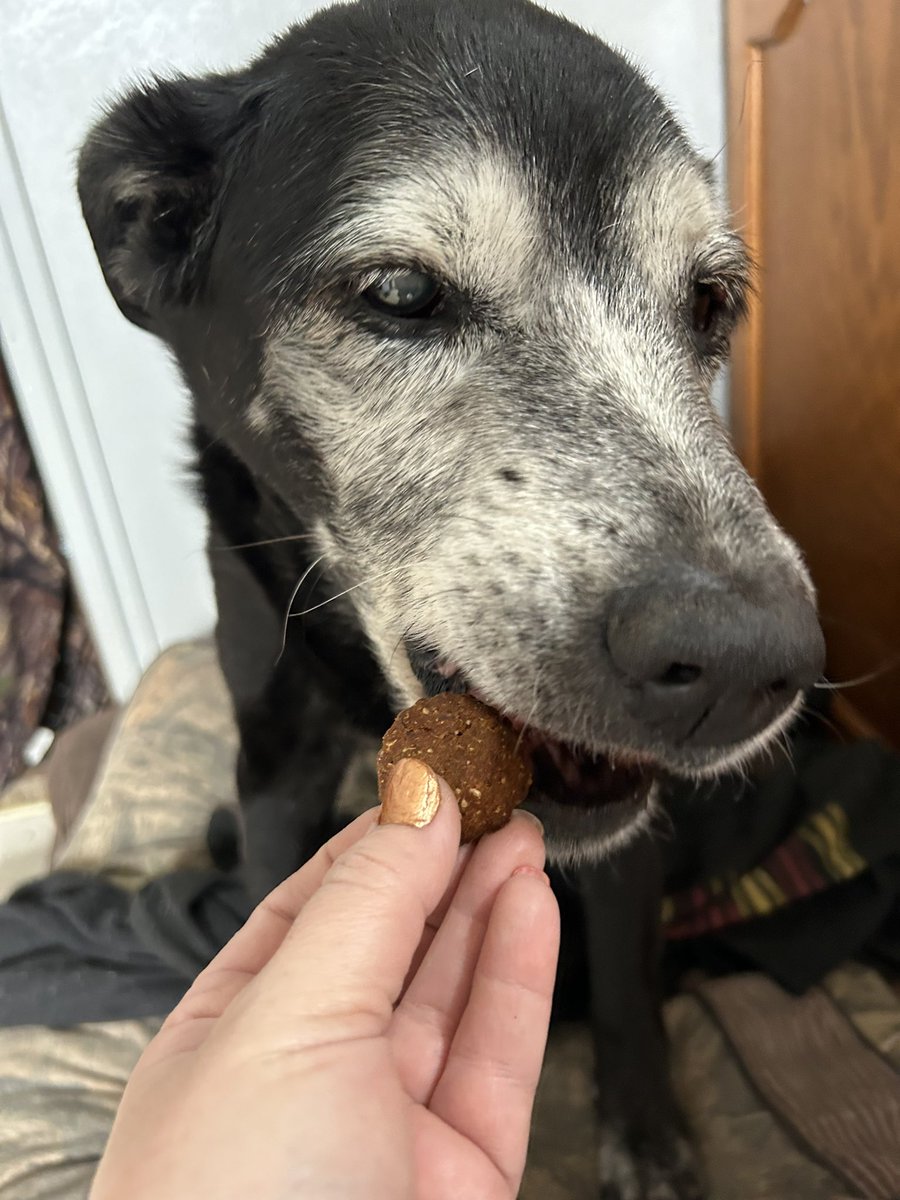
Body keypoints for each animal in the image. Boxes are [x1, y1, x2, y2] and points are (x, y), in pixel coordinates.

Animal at [77, 4, 825, 1195]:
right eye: (397, 292)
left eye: (710, 301)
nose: (751, 664)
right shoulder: (275, 766)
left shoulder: (629, 842)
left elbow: (627, 983)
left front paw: (648, 1135)